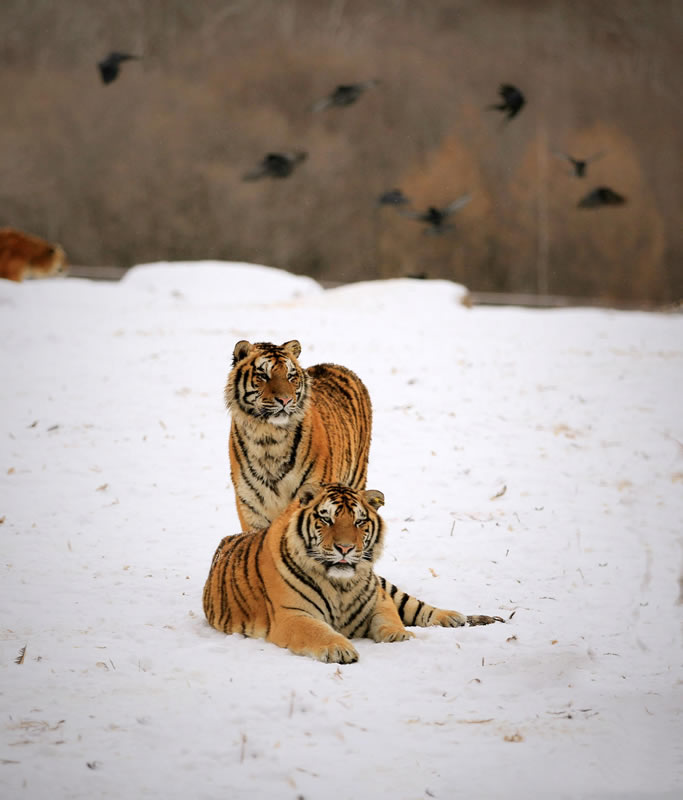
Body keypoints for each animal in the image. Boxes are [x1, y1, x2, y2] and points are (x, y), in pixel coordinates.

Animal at [203, 482, 502, 664]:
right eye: (326, 519)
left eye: (359, 521)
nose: (345, 548)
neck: (340, 585)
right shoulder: (292, 615)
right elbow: (317, 631)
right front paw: (339, 648)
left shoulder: (380, 599)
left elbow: (391, 618)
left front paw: (399, 636)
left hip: (387, 586)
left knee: (417, 606)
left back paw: (455, 617)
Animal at [227, 338, 372, 532]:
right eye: (263, 375)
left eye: (290, 376)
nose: (285, 400)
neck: (269, 438)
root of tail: (335, 365)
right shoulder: (251, 508)